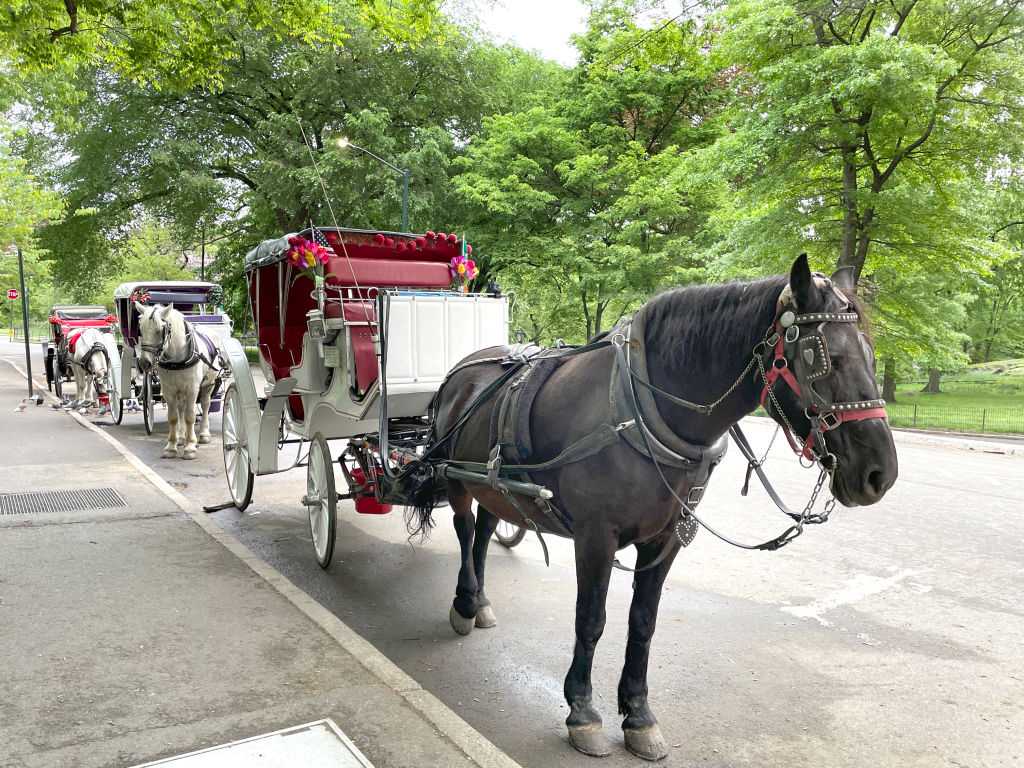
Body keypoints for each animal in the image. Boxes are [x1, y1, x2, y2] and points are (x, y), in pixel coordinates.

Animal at [135, 303, 220, 459]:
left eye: (159, 330)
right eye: (141, 329)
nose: (145, 363)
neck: (176, 358)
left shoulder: (192, 388)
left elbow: (190, 416)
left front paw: (190, 446)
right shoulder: (169, 390)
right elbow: (173, 417)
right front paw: (172, 446)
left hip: (208, 384)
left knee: (205, 405)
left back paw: (204, 434)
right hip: (179, 389)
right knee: (181, 408)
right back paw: (181, 437)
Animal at [410, 255, 898, 760]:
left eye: (871, 356)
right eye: (824, 359)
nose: (880, 473)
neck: (645, 408)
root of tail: (461, 370)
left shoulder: (665, 539)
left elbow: (643, 622)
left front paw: (639, 715)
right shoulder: (595, 537)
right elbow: (591, 619)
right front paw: (582, 712)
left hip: (493, 484)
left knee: (487, 529)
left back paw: (481, 602)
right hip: (455, 478)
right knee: (467, 531)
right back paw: (465, 602)